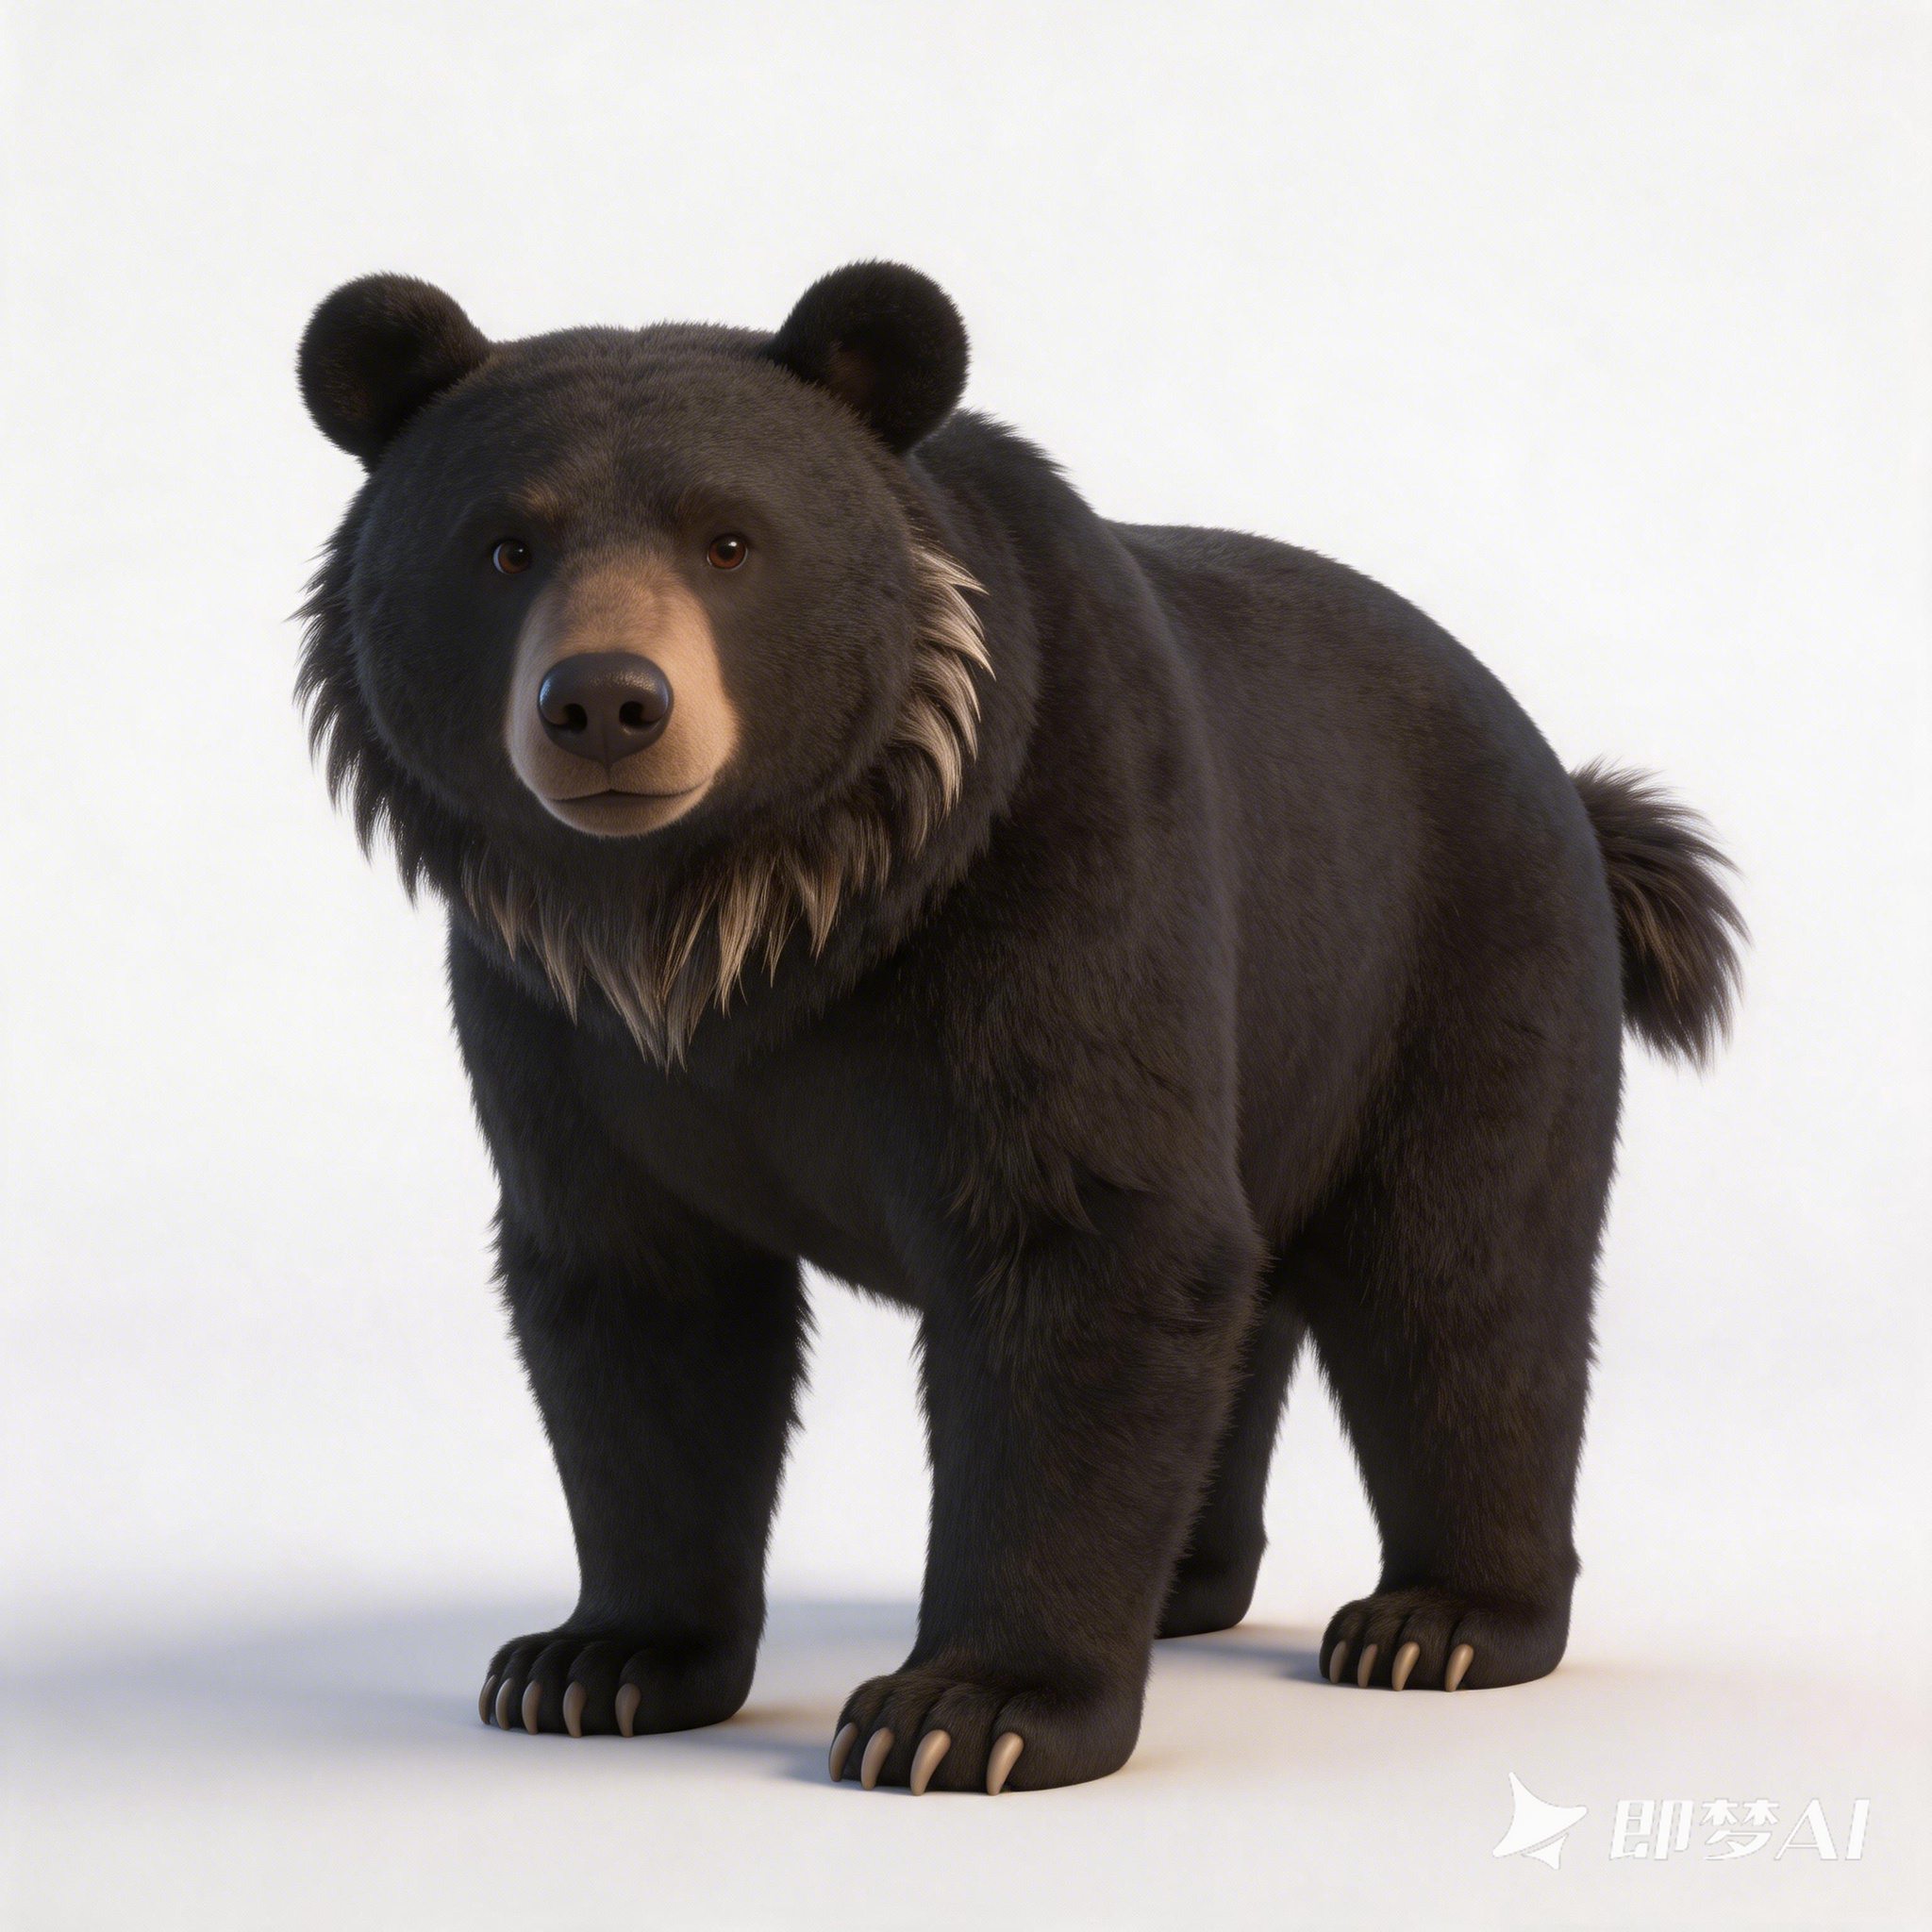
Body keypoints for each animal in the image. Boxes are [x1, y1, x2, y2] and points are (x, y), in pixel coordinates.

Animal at [295, 261, 1743, 1795]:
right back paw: (1185, 1584)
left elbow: (1080, 1247)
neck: (747, 915)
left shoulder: (1053, 880)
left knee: (1462, 1274)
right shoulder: (559, 1026)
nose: (607, 702)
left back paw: (1441, 1620)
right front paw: (593, 1660)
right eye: (505, 545)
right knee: (1261, 1294)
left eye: (730, 538)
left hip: (1448, 962)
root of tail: (1568, 783)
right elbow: (636, 1298)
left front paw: (965, 1709)